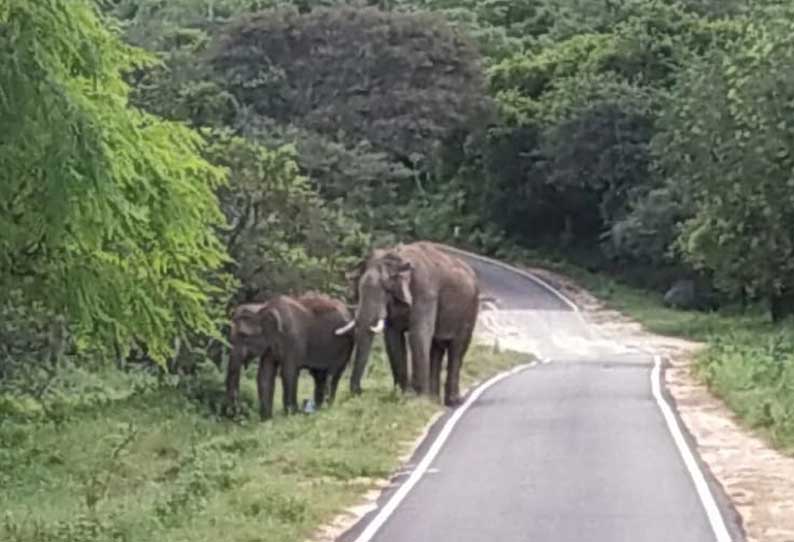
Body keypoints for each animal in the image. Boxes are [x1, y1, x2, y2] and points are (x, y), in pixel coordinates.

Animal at [226, 294, 356, 420]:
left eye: (244, 335)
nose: (238, 413)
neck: (263, 307)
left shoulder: (293, 340)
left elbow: (288, 373)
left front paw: (291, 415)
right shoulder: (270, 346)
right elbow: (265, 376)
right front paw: (266, 420)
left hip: (343, 347)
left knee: (333, 374)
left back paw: (326, 408)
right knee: (319, 376)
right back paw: (318, 409)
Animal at [332, 242, 476, 408]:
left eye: (386, 289)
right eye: (359, 291)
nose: (360, 391)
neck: (397, 256)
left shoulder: (426, 293)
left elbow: (418, 335)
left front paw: (417, 399)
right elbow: (393, 338)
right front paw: (403, 396)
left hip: (470, 311)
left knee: (457, 349)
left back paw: (452, 401)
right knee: (436, 348)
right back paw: (433, 401)